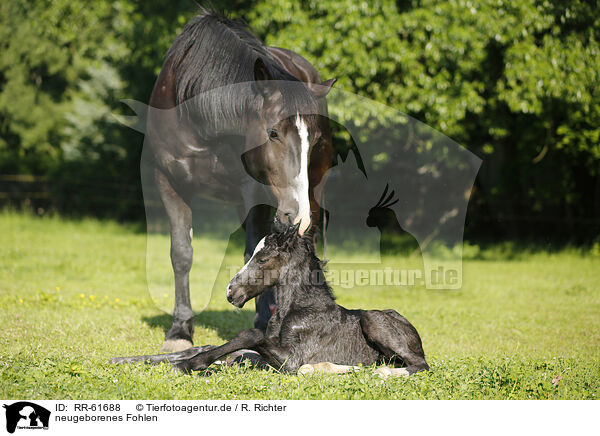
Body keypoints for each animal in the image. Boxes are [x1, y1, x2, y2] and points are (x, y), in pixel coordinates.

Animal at [112, 223, 428, 376]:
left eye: (262, 259)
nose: (230, 291)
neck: (298, 309)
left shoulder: (289, 360)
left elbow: (249, 335)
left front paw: (187, 366)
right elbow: (208, 347)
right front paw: (123, 359)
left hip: (373, 320)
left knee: (418, 365)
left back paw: (377, 374)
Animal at [145, 9, 332, 350]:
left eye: (314, 138)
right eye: (273, 132)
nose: (296, 214)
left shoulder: (253, 192)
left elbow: (255, 251)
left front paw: (261, 323)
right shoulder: (168, 182)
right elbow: (181, 253)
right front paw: (179, 331)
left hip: (312, 192)